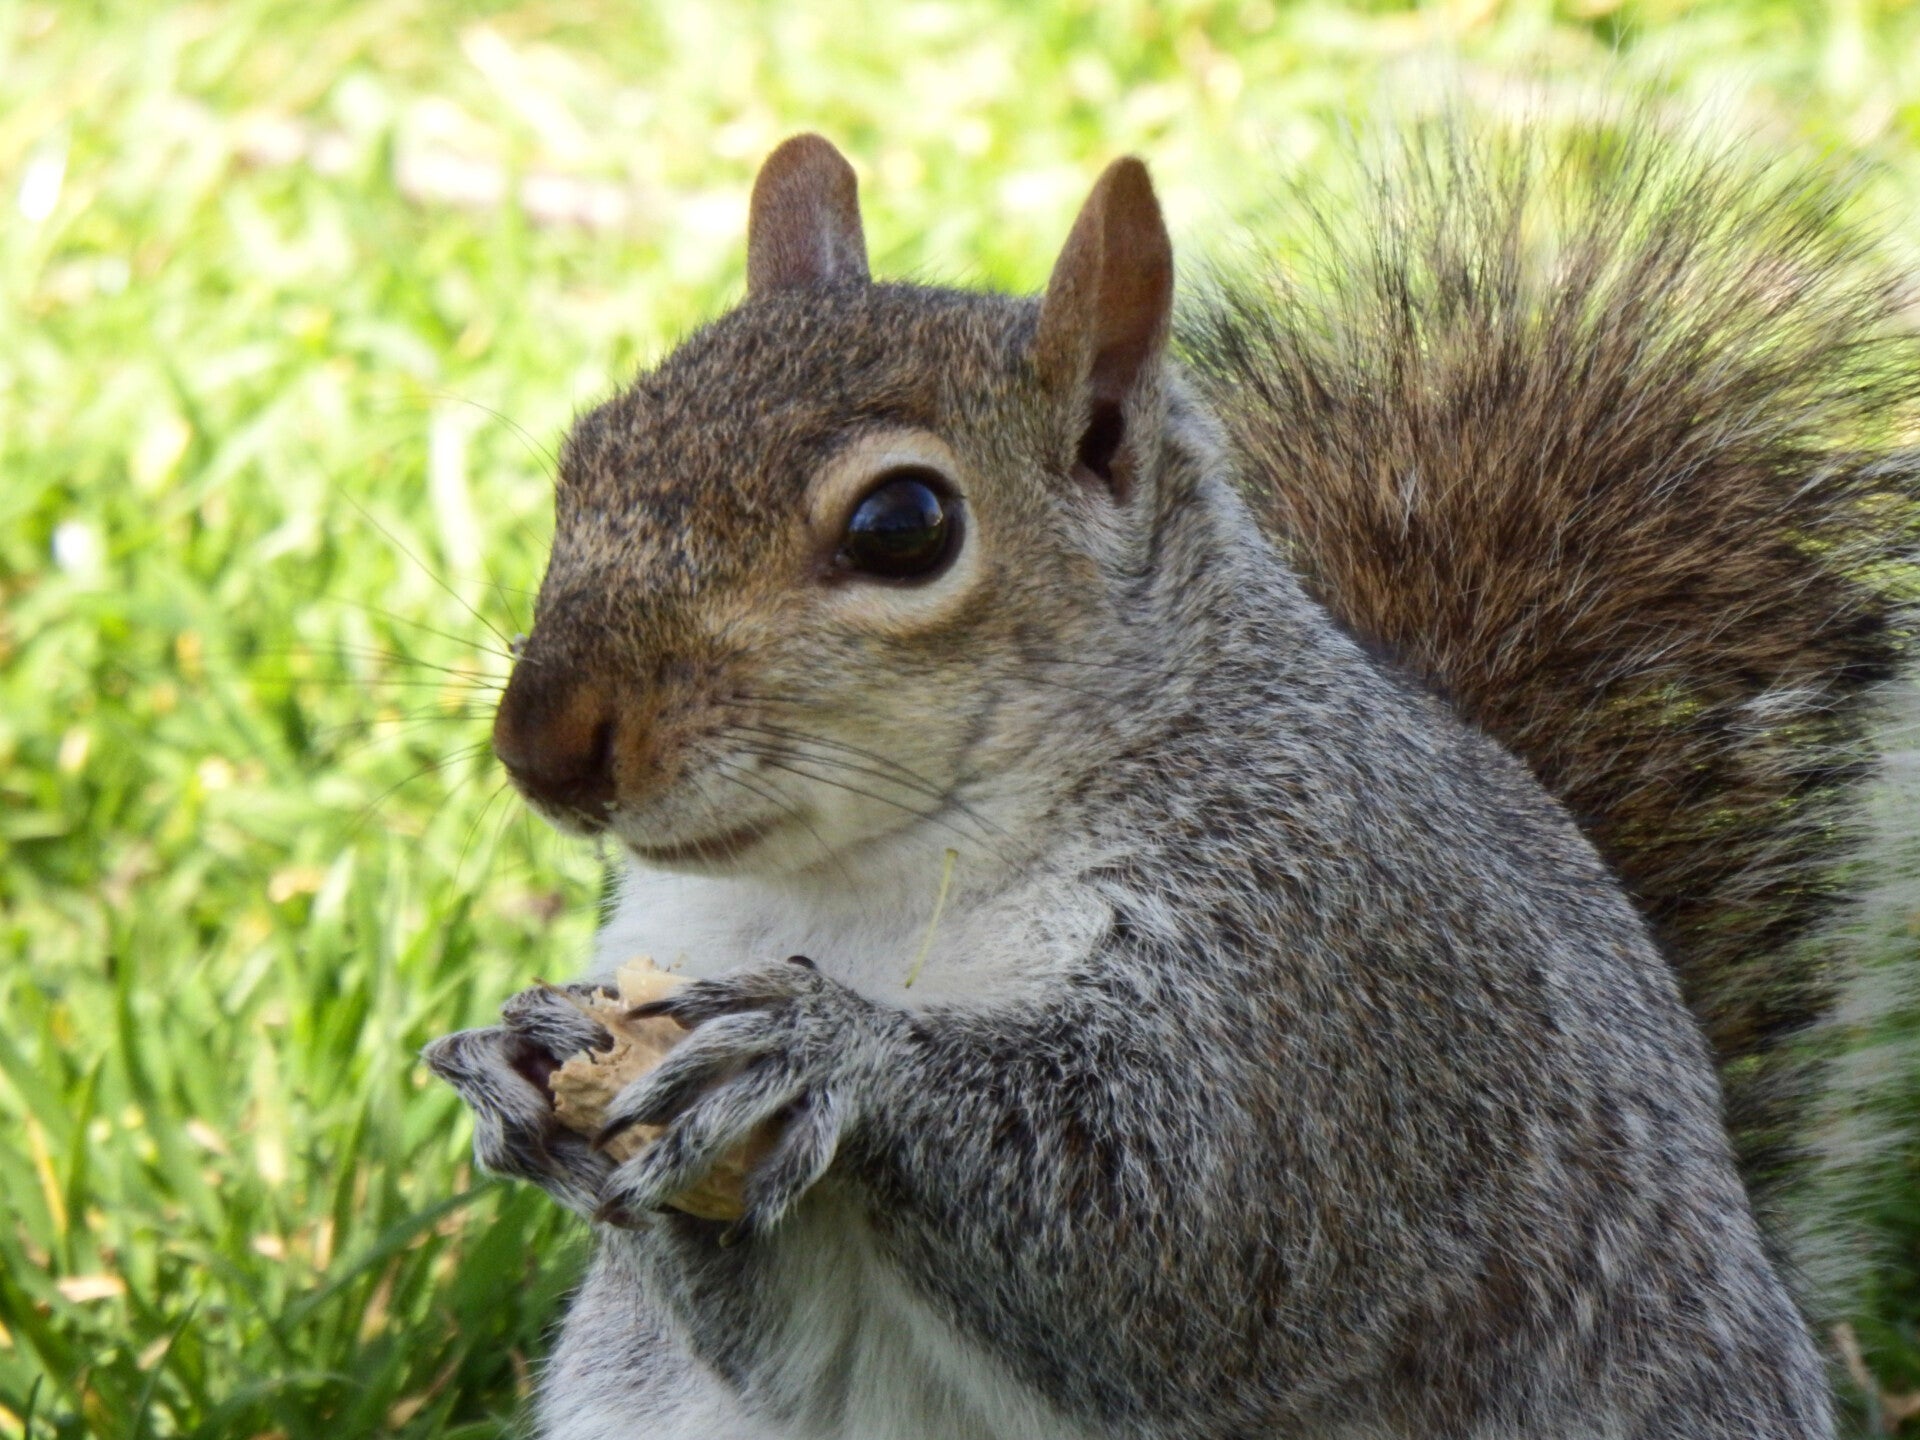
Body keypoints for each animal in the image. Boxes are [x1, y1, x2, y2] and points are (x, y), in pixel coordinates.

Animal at [423, 122, 1920, 1440]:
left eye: (904, 525)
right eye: (587, 454)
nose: (541, 745)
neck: (872, 880)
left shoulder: (1335, 984)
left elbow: (1186, 1248)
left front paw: (824, 1051)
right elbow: (778, 1352)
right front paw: (517, 1072)